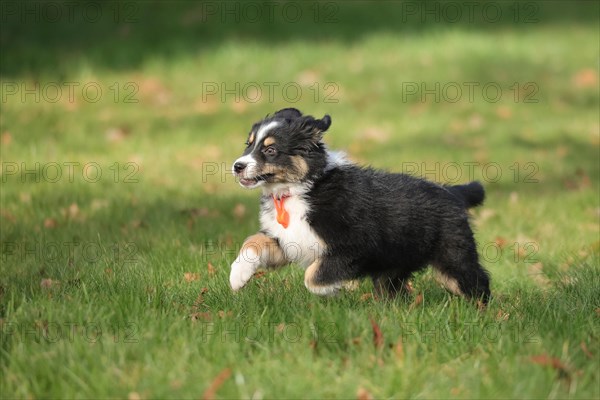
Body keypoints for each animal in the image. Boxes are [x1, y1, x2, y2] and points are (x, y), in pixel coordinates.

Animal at [227, 108, 490, 302]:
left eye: (271, 150)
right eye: (248, 144)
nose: (237, 166)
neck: (299, 190)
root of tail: (453, 191)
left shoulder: (355, 246)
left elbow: (313, 276)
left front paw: (336, 289)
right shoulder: (289, 240)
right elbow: (253, 242)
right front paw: (237, 276)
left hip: (453, 257)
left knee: (478, 282)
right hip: (394, 266)